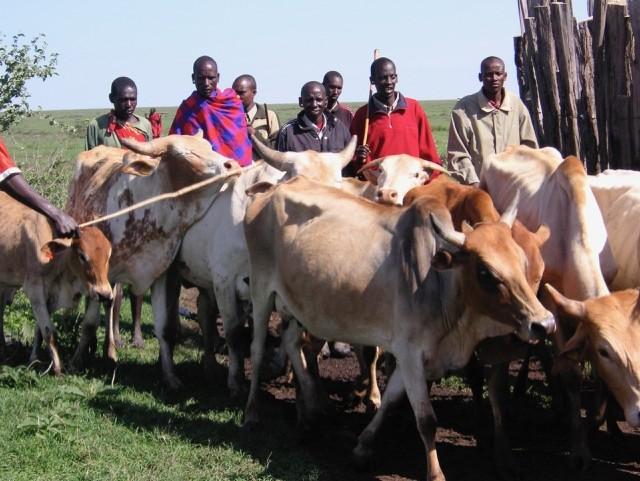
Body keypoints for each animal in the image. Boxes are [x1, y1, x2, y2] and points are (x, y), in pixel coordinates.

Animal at [0, 191, 111, 372]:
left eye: (109, 255)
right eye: (82, 255)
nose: (104, 294)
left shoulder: (51, 296)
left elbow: (39, 329)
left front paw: (34, 359)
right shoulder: (35, 290)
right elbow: (48, 331)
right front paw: (58, 369)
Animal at [65, 134, 234, 382]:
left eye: (209, 147)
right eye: (184, 154)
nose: (232, 164)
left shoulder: (161, 276)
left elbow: (164, 328)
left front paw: (170, 377)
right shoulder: (102, 274)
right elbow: (89, 323)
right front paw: (76, 361)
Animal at [242, 175, 552, 480]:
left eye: (522, 262)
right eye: (486, 272)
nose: (544, 323)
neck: (437, 288)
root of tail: (272, 189)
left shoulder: (411, 357)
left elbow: (391, 400)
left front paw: (362, 448)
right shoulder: (411, 353)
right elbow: (426, 420)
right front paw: (435, 474)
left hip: (297, 305)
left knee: (292, 342)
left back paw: (311, 413)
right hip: (261, 289)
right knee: (257, 349)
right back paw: (252, 412)